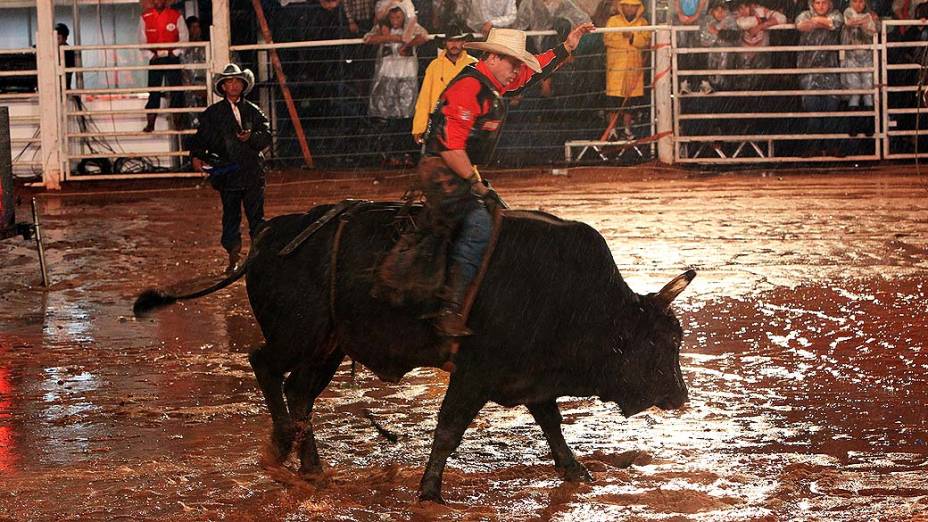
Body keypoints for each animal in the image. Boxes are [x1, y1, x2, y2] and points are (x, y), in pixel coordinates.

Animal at [134, 201, 692, 502]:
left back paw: (310, 463)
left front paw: (575, 470)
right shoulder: (475, 372)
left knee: (300, 391)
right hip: (300, 336)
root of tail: (273, 234)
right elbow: (449, 429)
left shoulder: (528, 377)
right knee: (264, 366)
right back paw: (283, 442)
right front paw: (429, 490)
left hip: (329, 346)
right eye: (660, 344)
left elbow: (551, 424)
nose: (679, 397)